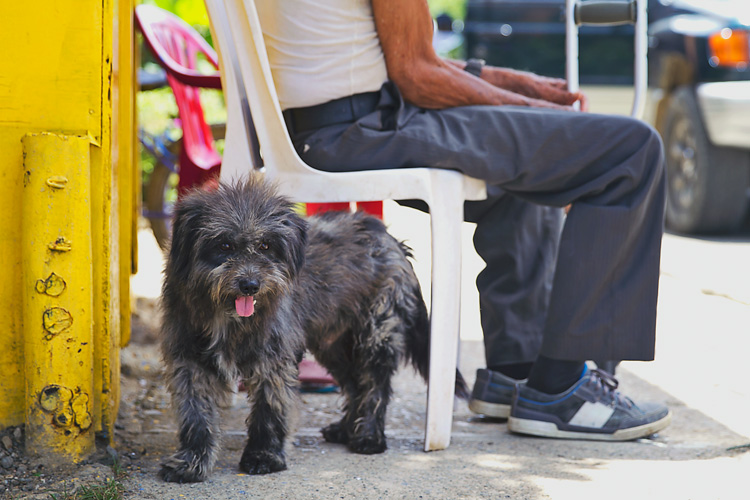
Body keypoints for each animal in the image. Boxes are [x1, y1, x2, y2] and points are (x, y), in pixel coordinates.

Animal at [158, 178, 468, 482]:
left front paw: (264, 456)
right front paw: (191, 462)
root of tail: (392, 241)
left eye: (266, 246)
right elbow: (195, 414)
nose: (250, 285)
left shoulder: (273, 361)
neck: (228, 316)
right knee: (355, 384)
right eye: (223, 245)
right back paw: (346, 429)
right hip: (334, 346)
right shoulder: (190, 362)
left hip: (375, 335)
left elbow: (269, 410)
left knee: (374, 385)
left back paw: (368, 436)